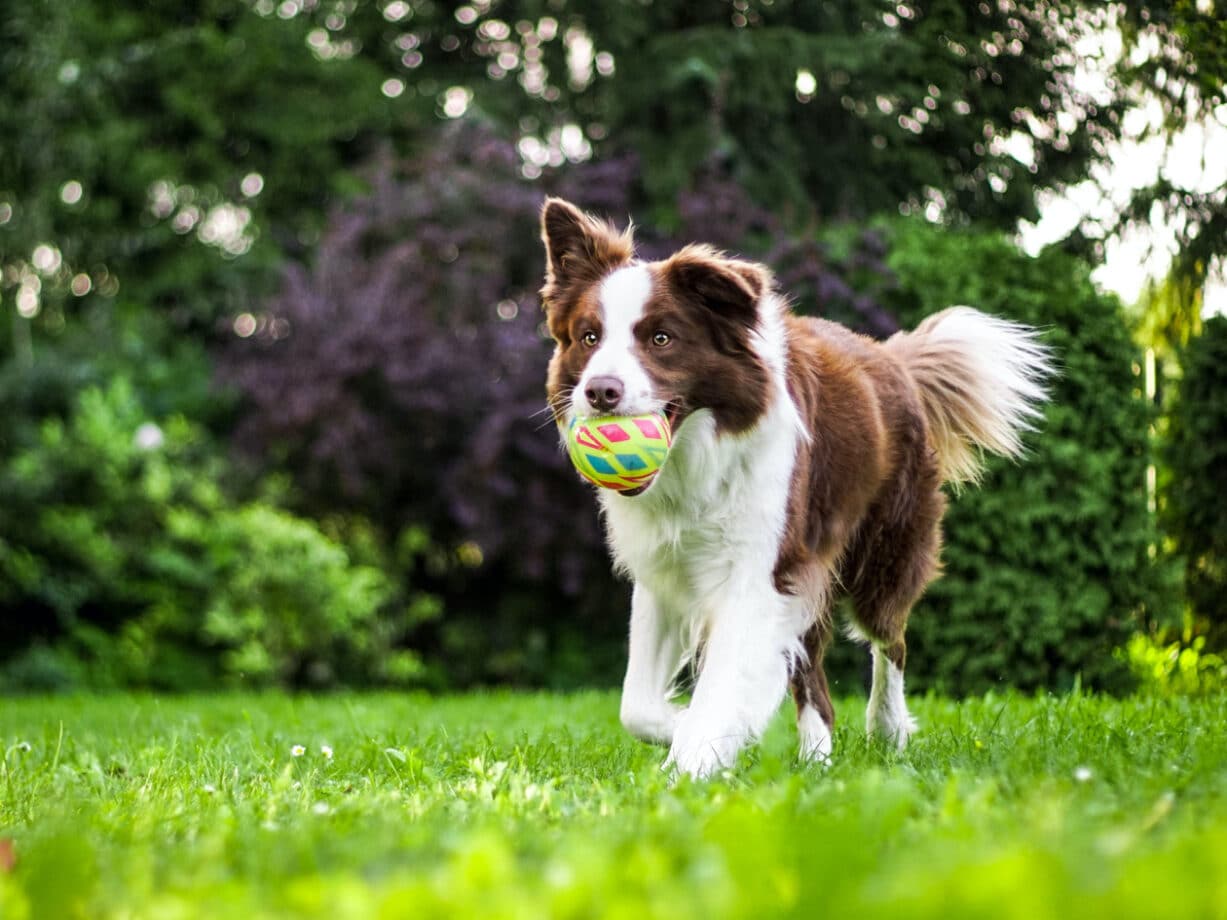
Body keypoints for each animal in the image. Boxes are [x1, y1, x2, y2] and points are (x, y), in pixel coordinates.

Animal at [539, 199, 1055, 780]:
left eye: (661, 339)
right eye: (589, 337)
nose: (600, 392)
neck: (696, 460)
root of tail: (893, 358)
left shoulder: (760, 571)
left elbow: (721, 684)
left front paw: (693, 761)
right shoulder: (666, 571)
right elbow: (637, 705)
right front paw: (692, 730)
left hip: (883, 553)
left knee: (890, 640)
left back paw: (887, 729)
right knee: (814, 678)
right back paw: (816, 760)